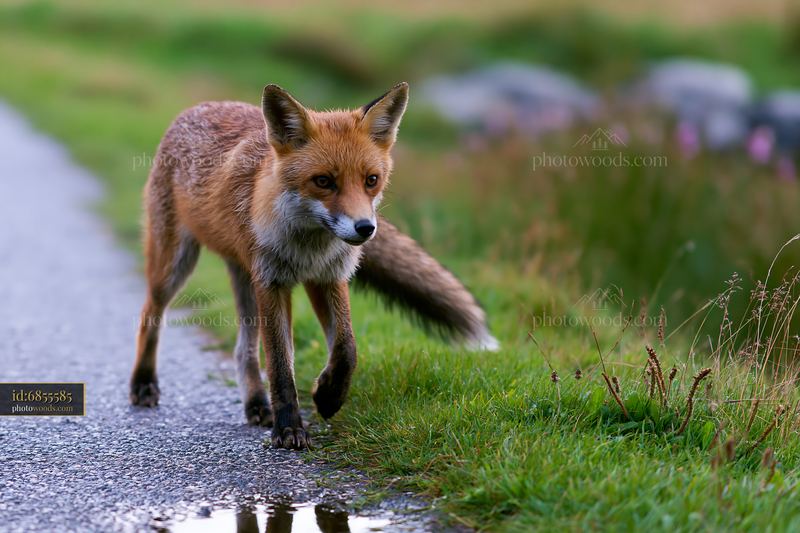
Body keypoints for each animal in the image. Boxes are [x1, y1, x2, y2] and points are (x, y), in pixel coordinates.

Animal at [129, 82, 497, 449]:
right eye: (323, 181)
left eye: (371, 180)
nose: (366, 228)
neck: (308, 249)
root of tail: (200, 106)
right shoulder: (273, 283)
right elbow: (280, 364)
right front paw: (289, 428)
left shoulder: (327, 278)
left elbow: (346, 349)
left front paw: (328, 396)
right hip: (176, 264)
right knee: (150, 314)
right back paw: (143, 383)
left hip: (245, 279)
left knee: (243, 350)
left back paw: (256, 404)